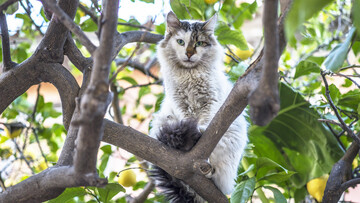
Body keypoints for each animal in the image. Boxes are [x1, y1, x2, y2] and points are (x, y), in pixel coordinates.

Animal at [149, 11, 248, 203]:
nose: (189, 53)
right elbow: (188, 120)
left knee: (219, 177)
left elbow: (207, 123)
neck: (189, 75)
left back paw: (209, 171)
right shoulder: (180, 104)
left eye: (199, 43)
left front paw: (200, 130)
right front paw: (193, 131)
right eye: (181, 42)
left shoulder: (211, 101)